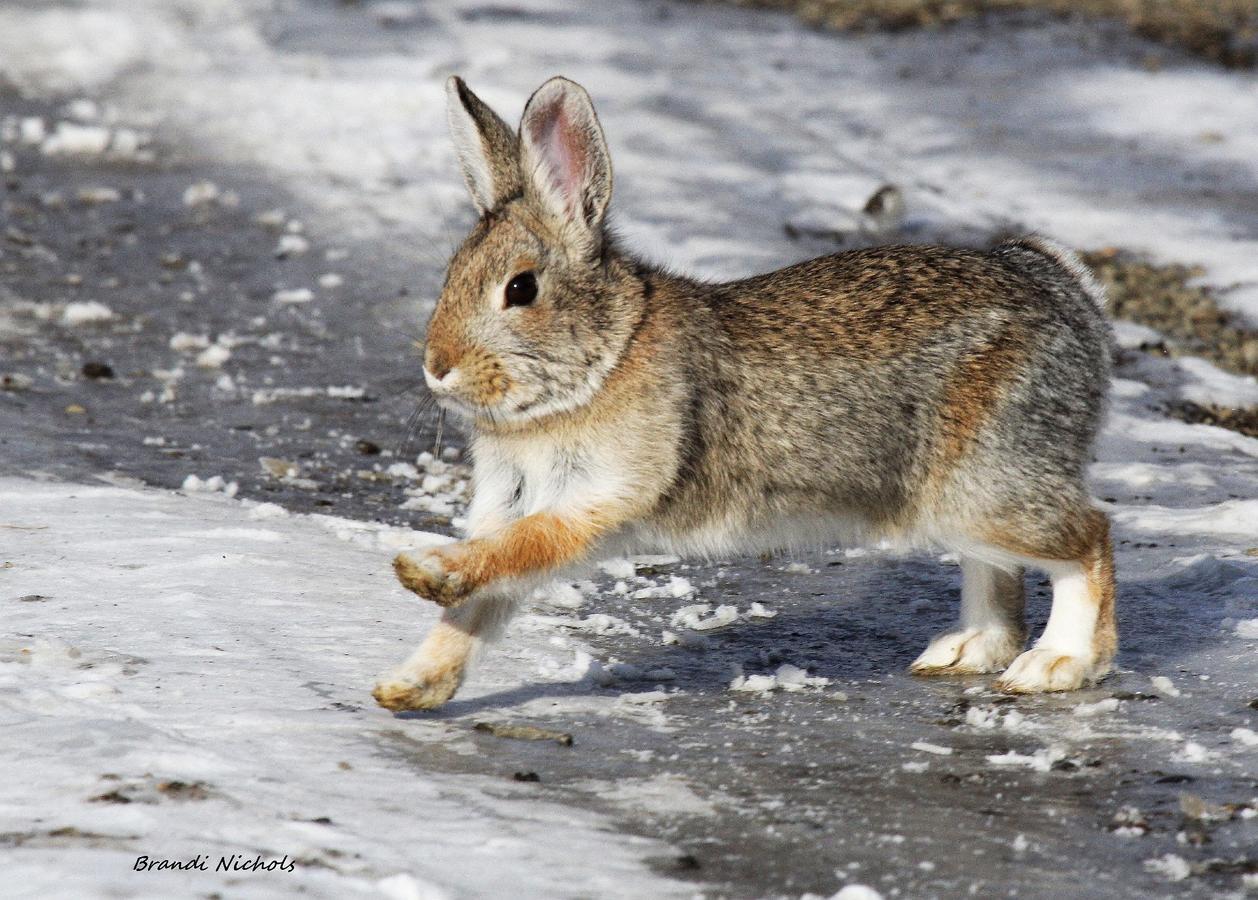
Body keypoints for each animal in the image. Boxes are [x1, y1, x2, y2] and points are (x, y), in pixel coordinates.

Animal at [369, 75, 1112, 709]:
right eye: (450, 274)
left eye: (520, 289)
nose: (437, 366)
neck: (605, 356)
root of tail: (1066, 296)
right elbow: (479, 604)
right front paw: (411, 686)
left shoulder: (599, 494)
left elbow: (519, 549)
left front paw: (420, 568)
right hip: (964, 497)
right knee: (1001, 569)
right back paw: (967, 651)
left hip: (985, 484)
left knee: (1089, 537)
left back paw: (1058, 664)